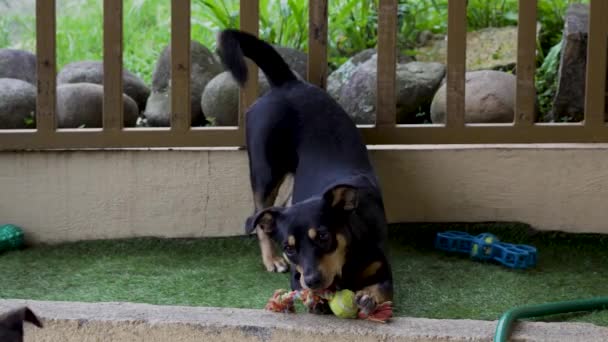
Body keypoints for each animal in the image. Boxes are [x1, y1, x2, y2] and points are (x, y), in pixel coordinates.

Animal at [218, 29, 394, 312]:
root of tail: (286, 83)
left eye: (323, 236)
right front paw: (316, 300)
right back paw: (271, 259)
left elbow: (382, 288)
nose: (312, 280)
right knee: (259, 216)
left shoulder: (384, 270)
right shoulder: (296, 277)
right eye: (290, 248)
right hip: (265, 171)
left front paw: (368, 297)